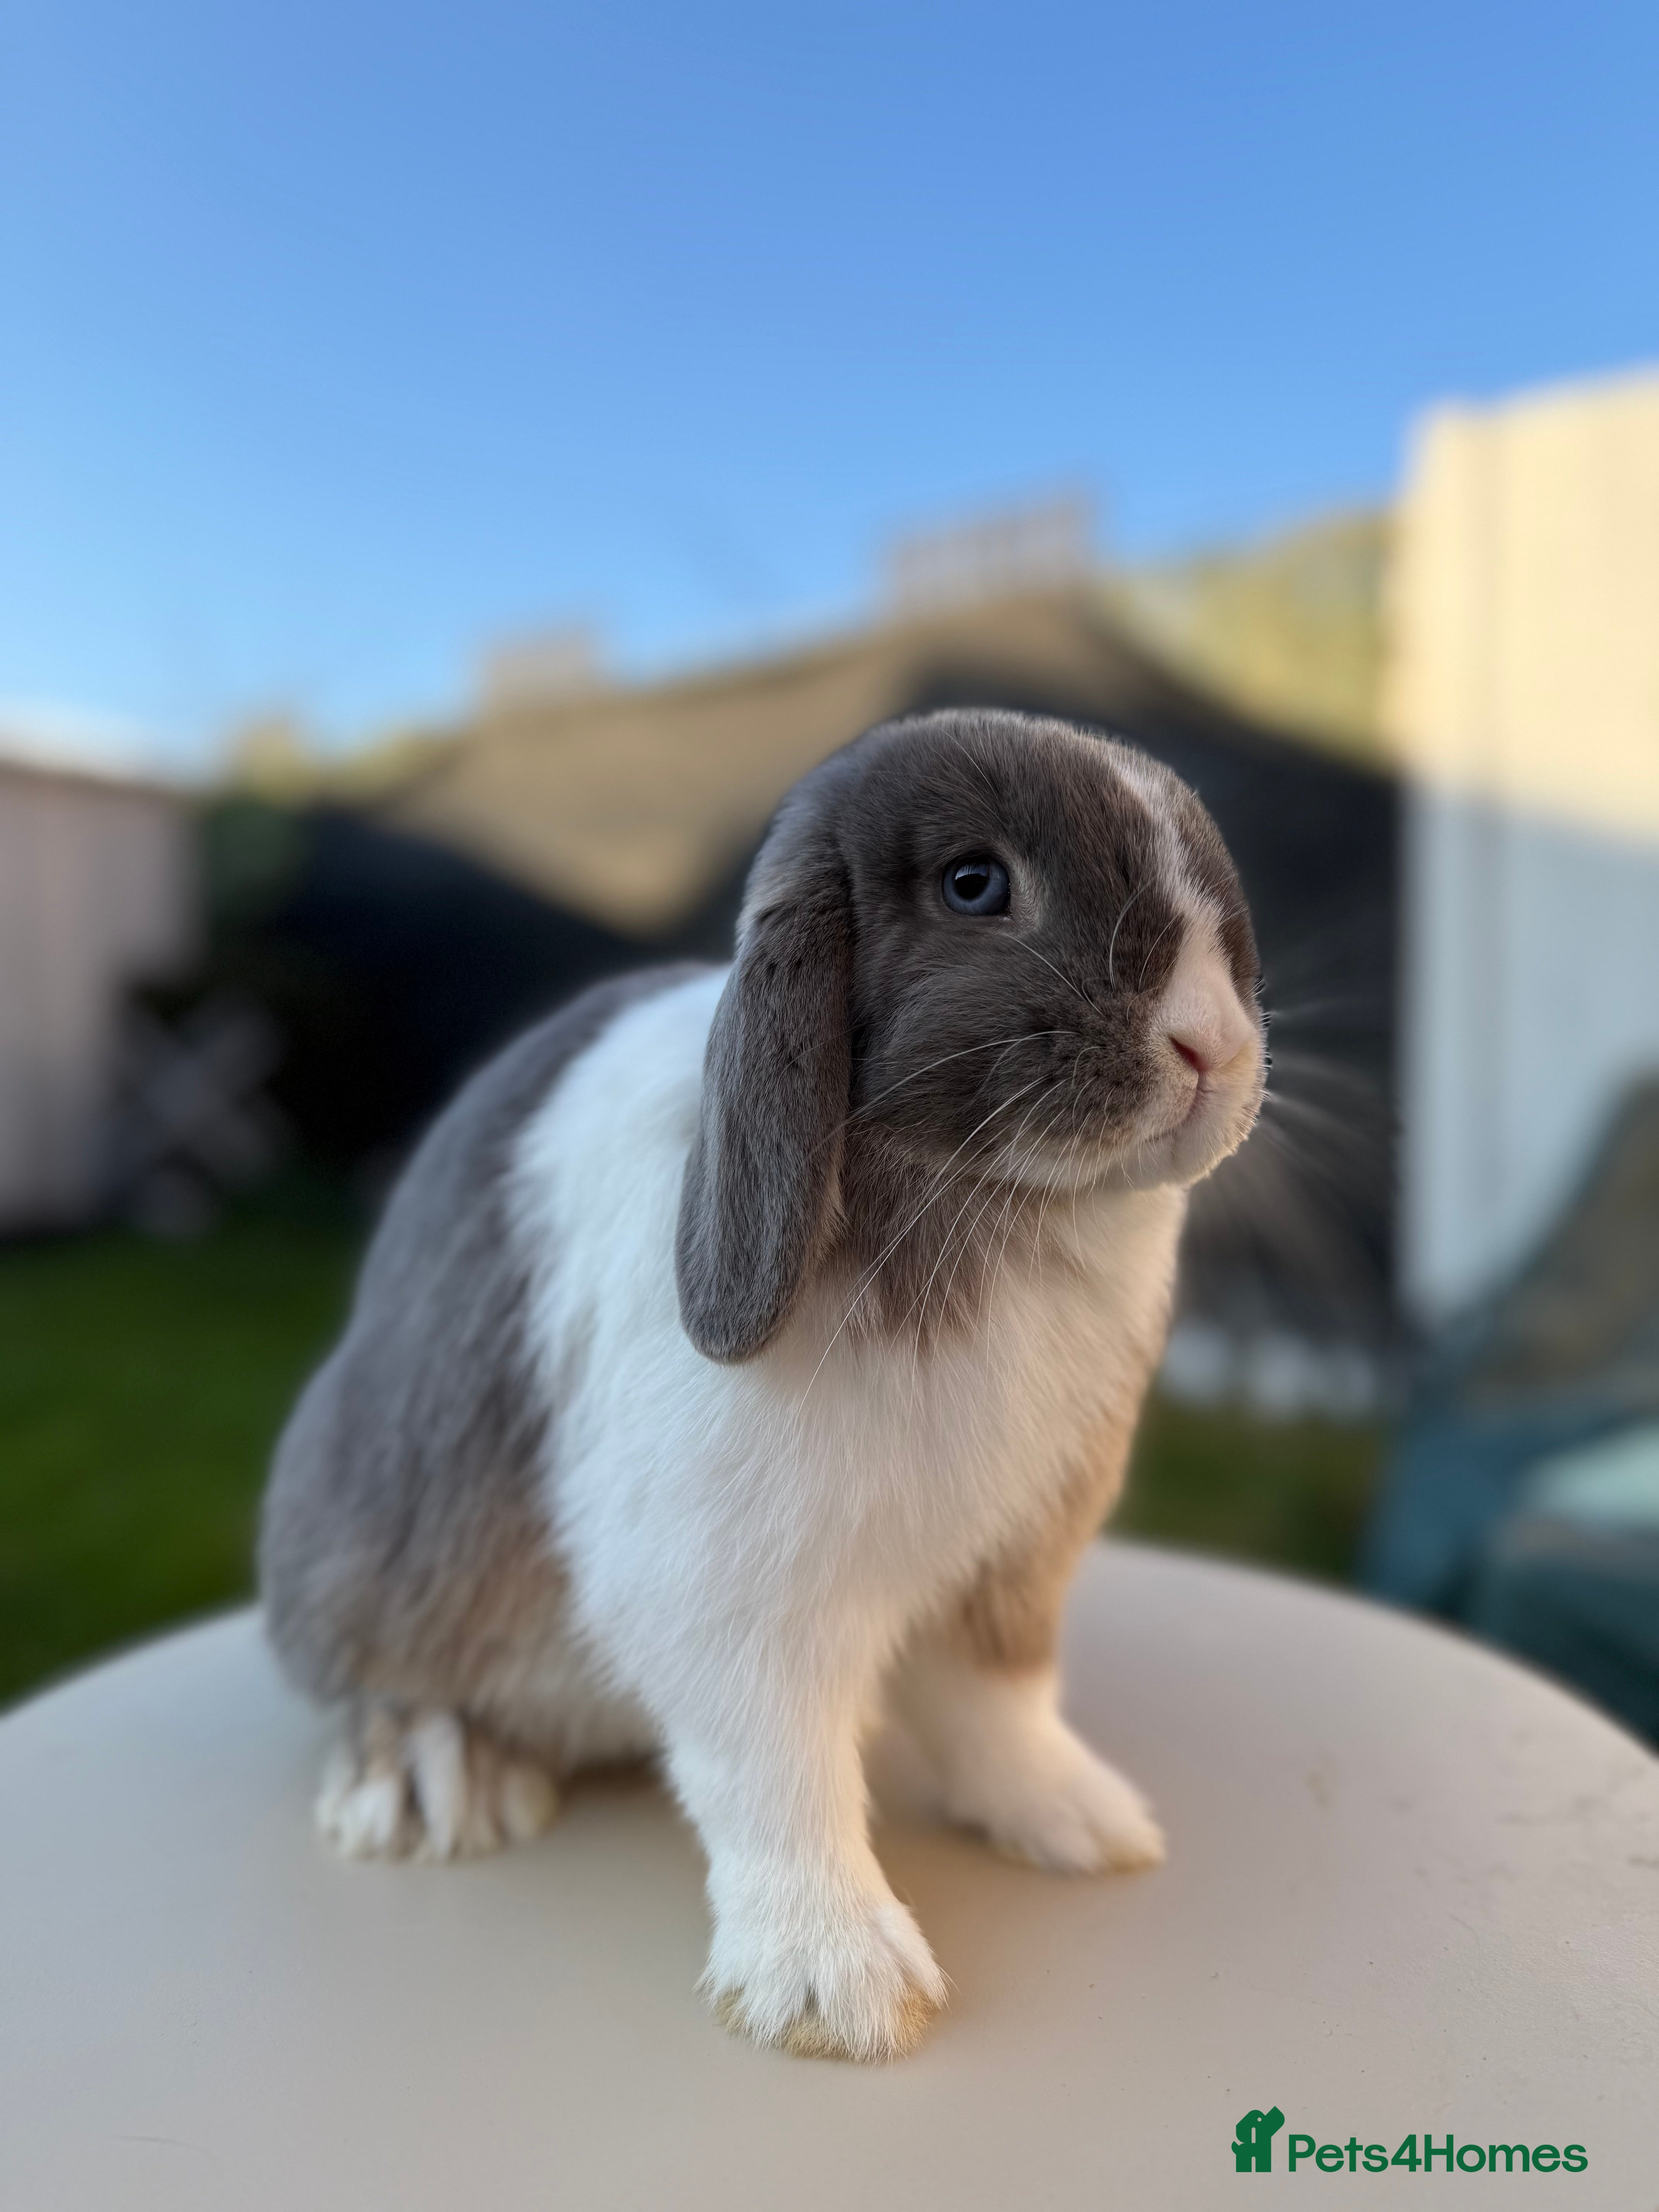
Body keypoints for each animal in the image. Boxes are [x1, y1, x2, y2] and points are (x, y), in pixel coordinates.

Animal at [259, 705, 1265, 2061]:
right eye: (975, 884)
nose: (1212, 1045)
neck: (991, 1210)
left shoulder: (1012, 1556)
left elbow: (1000, 1701)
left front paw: (1080, 1821)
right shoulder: (730, 1590)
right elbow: (777, 1770)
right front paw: (838, 1986)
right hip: (368, 1554)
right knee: (379, 1676)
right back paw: (431, 1785)